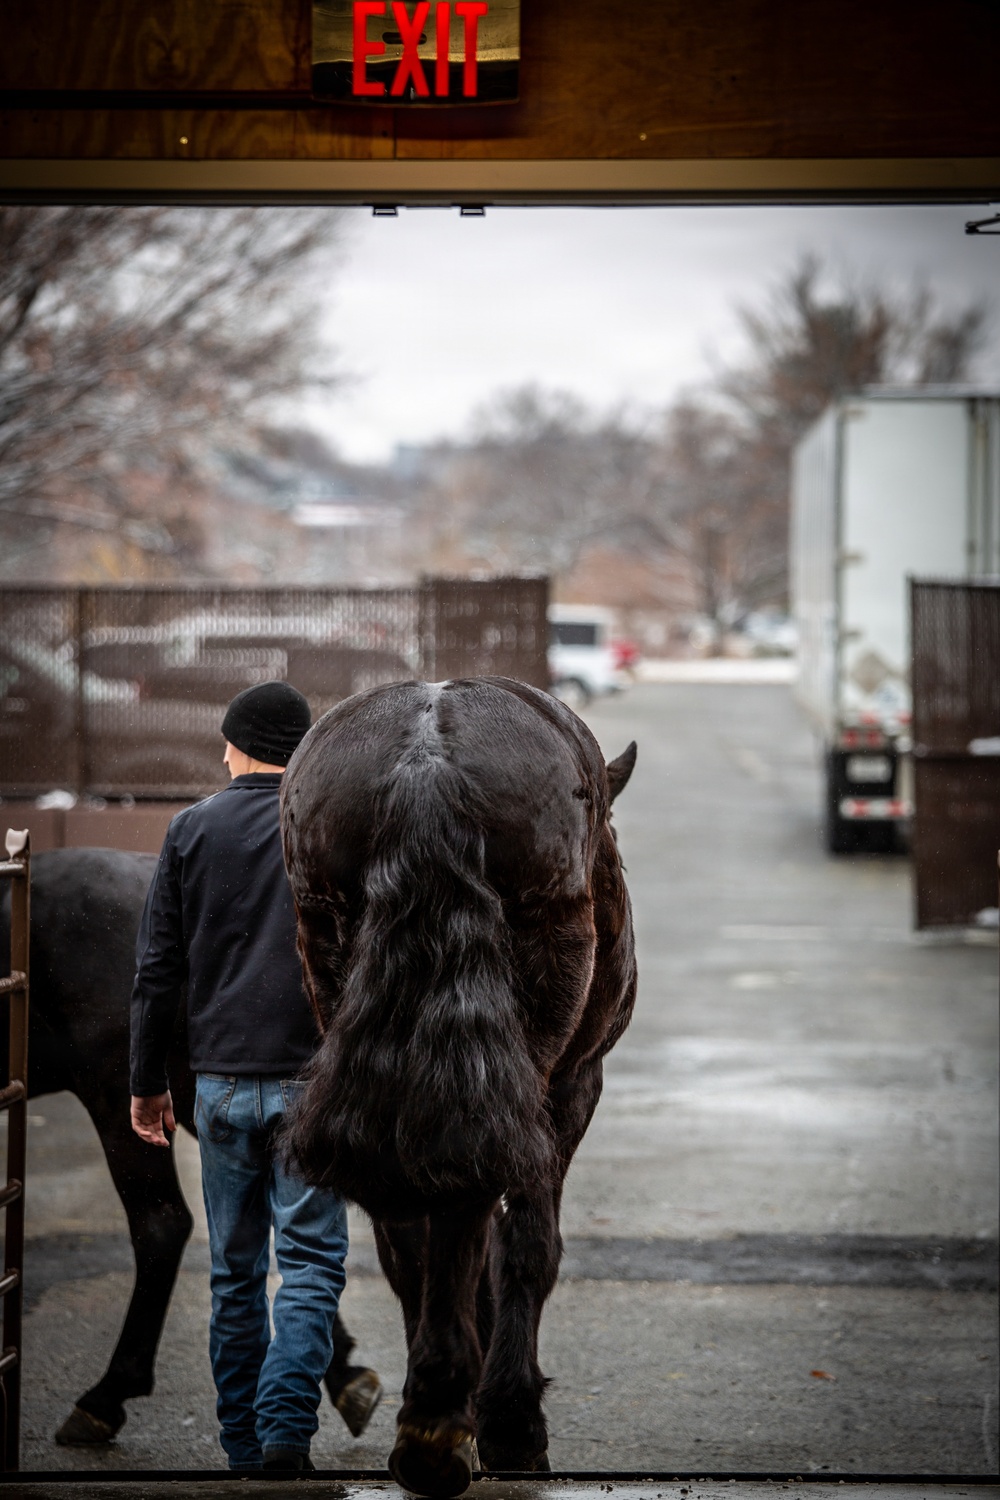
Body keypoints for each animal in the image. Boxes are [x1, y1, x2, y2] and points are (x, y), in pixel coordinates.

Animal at [280, 676, 637, 1497]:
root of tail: (427, 766)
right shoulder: (574, 1087)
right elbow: (526, 1244)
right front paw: (506, 1418)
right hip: (541, 1058)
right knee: (479, 1202)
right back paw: (464, 1424)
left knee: (407, 1208)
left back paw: (434, 1412)